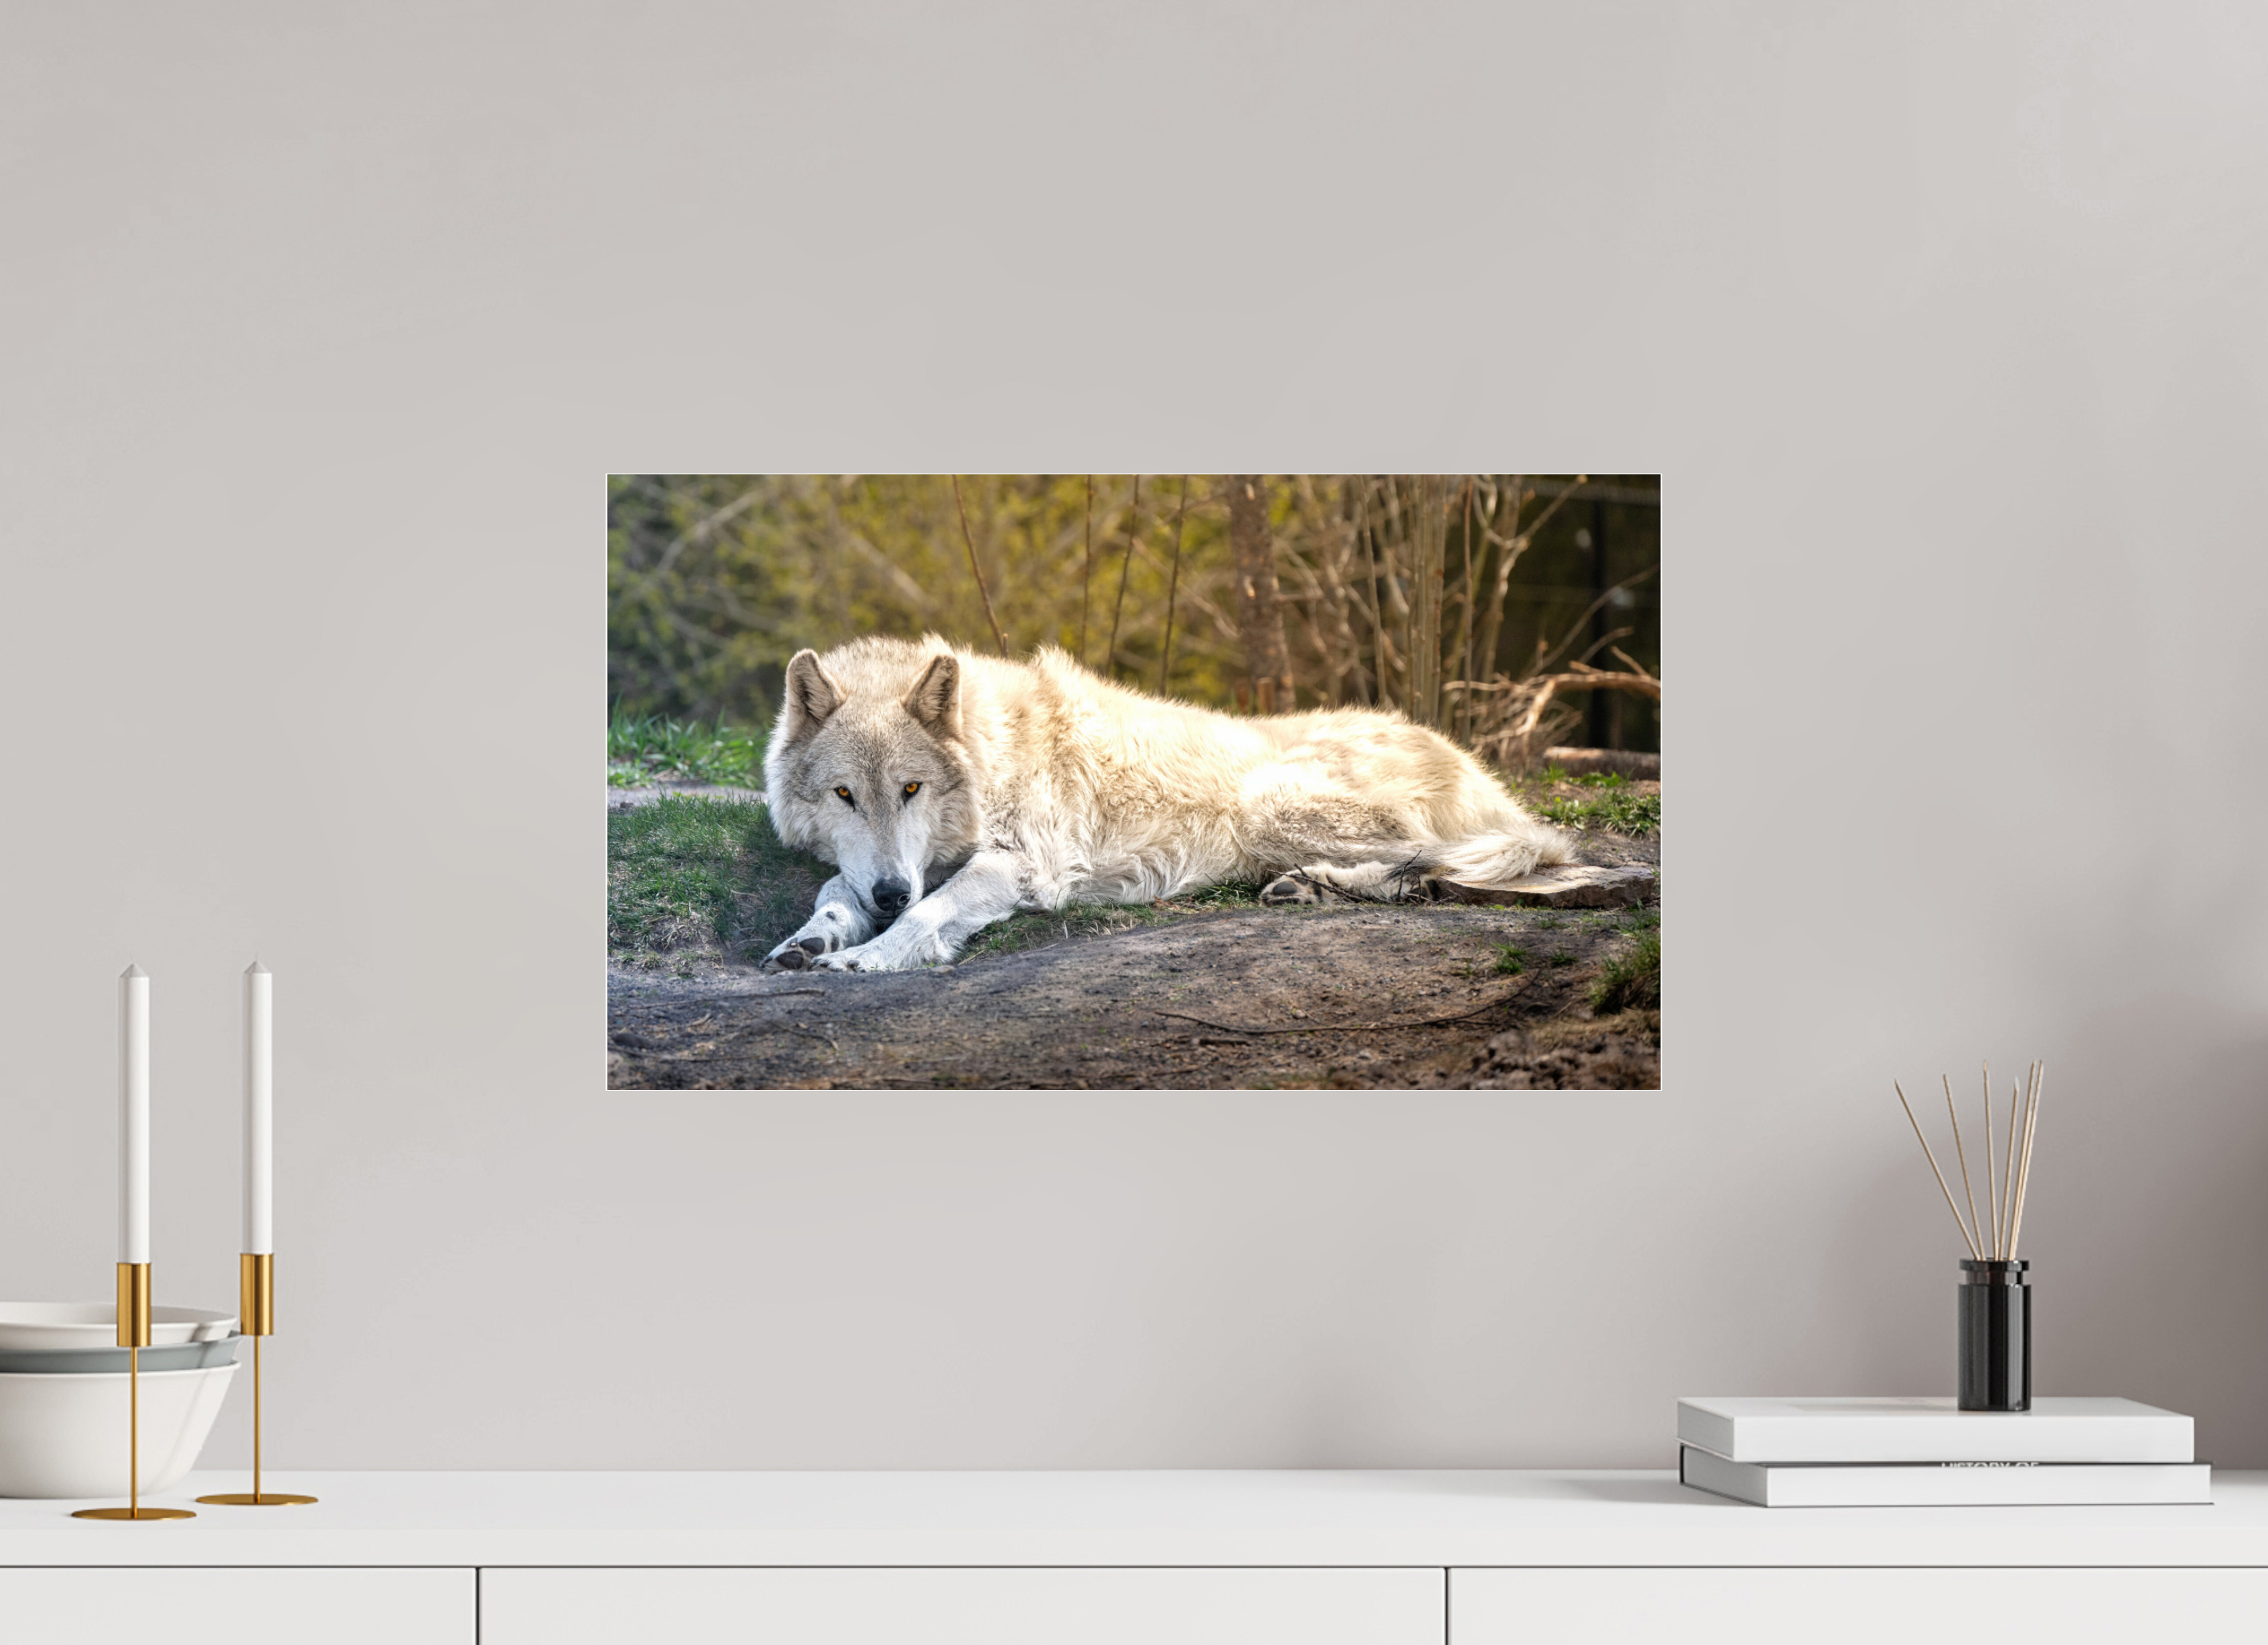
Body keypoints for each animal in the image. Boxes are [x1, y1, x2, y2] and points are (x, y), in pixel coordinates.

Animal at [761, 636, 1575, 972]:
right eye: (845, 795)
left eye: (912, 789)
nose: (889, 893)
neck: (991, 751)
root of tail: (1481, 772)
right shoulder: (894, 866)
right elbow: (837, 889)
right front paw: (814, 939)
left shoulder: (1026, 867)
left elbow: (929, 913)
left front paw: (866, 958)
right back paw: (1303, 888)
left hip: (1268, 803)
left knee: (1445, 862)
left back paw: (1323, 885)